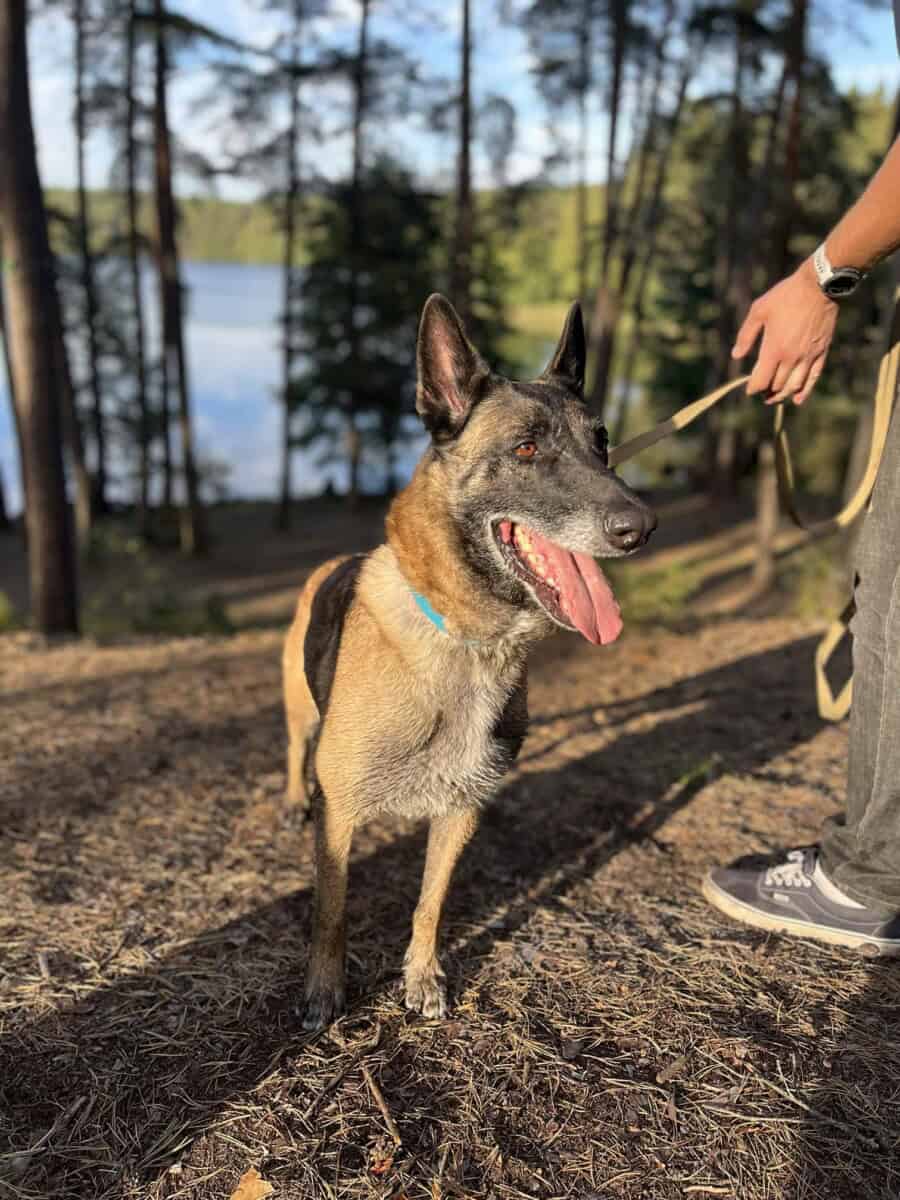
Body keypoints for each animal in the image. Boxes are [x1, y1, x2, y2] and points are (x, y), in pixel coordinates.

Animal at [283, 294, 656, 1030]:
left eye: (602, 442)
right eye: (526, 448)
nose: (640, 528)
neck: (466, 641)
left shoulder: (460, 811)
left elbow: (431, 904)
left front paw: (422, 976)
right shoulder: (341, 818)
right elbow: (330, 913)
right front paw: (324, 990)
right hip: (301, 718)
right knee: (292, 751)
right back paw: (289, 799)